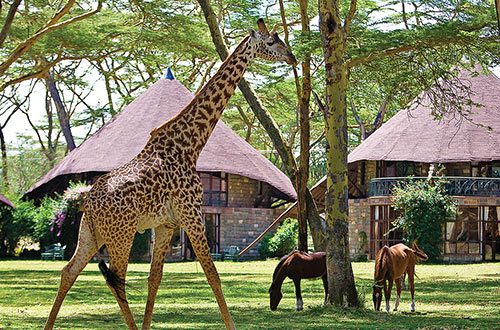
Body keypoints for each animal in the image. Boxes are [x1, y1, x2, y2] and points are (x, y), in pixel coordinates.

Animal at [44, 18, 296, 330]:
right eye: (271, 41)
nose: (292, 57)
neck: (190, 145)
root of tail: (88, 203)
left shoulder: (166, 224)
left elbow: (155, 279)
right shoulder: (192, 213)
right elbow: (213, 275)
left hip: (89, 233)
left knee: (69, 272)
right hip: (121, 234)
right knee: (117, 280)